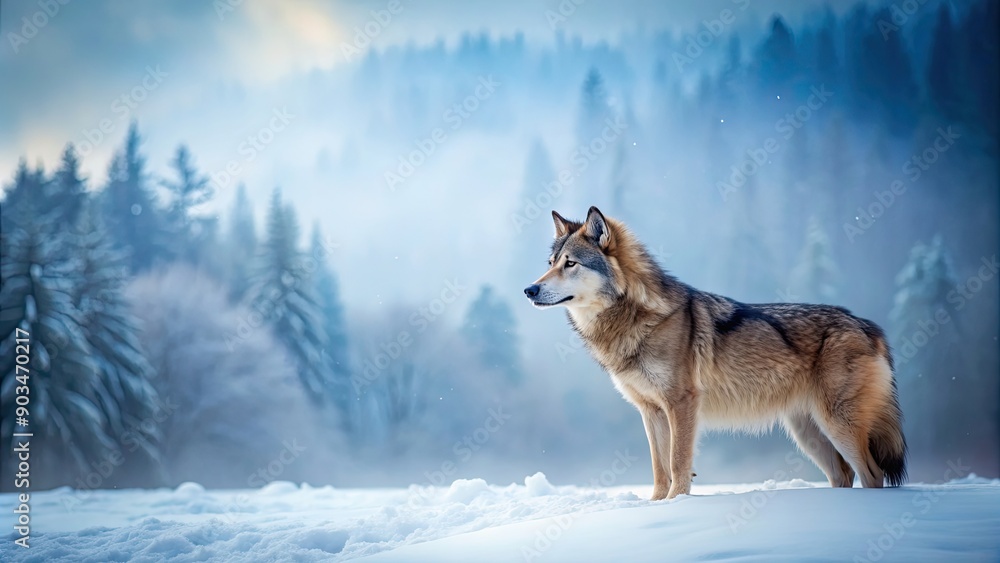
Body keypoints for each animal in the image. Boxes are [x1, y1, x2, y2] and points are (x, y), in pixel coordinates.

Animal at [524, 207, 907, 500]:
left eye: (570, 264)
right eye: (551, 262)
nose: (529, 289)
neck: (634, 317)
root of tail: (869, 326)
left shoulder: (682, 403)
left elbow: (678, 462)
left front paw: (676, 504)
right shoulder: (651, 411)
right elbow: (659, 468)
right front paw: (657, 505)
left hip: (838, 425)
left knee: (873, 475)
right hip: (808, 434)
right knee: (844, 475)